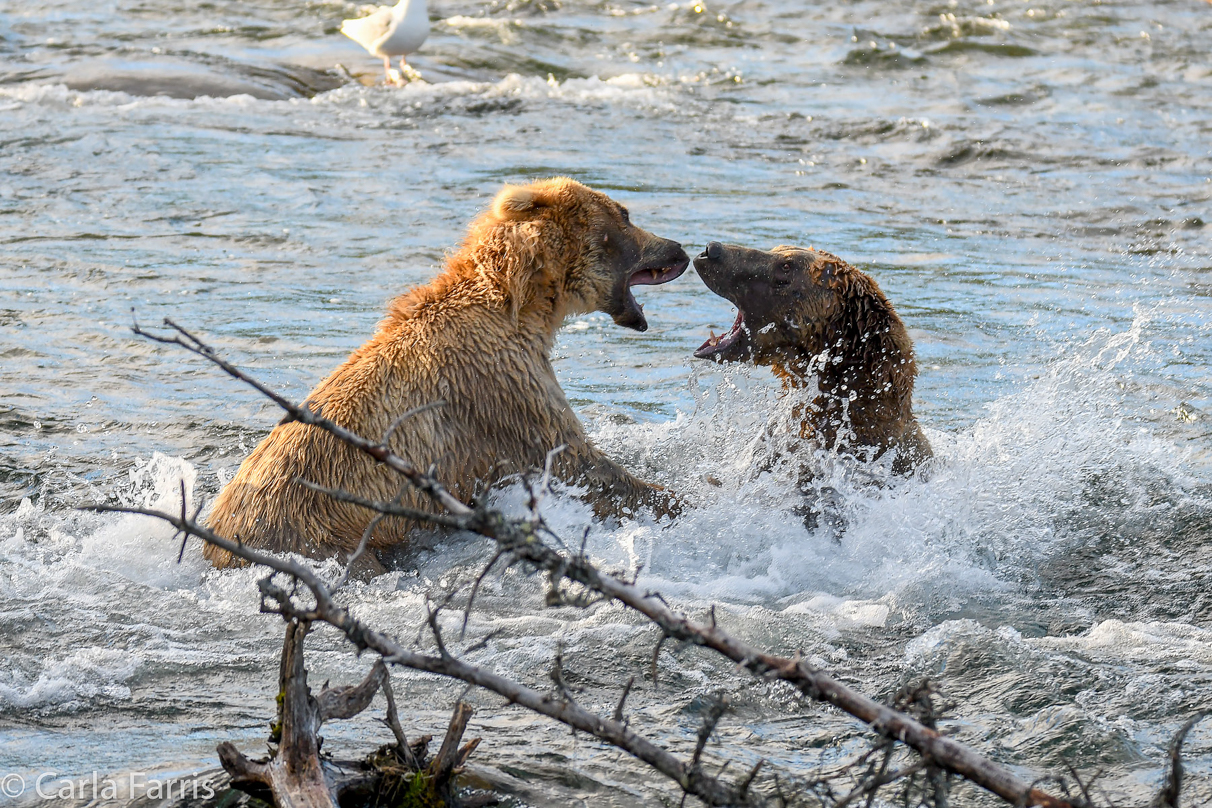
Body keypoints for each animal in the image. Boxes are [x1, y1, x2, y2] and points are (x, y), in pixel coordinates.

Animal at [203, 176, 688, 569]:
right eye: (624, 214)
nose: (678, 248)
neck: (522, 308)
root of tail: (215, 543)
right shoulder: (499, 387)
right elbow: (576, 464)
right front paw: (681, 497)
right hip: (321, 534)